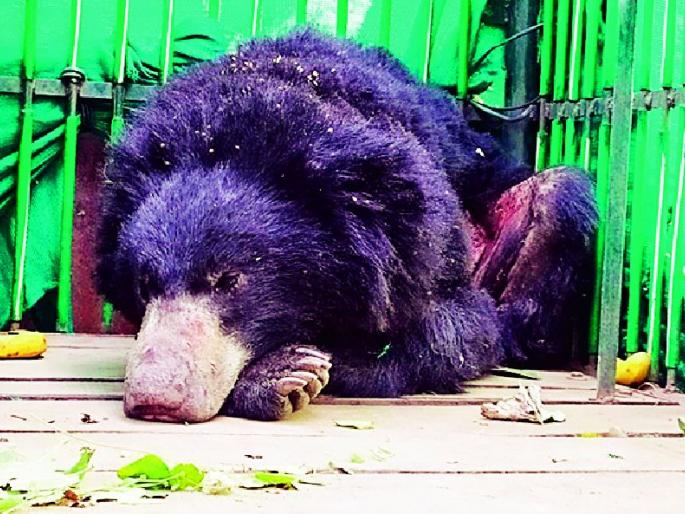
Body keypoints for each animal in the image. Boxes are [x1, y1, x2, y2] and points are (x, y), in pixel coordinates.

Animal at [97, 30, 597, 423]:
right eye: (143, 285)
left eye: (229, 281)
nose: (156, 399)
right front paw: (282, 374)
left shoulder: (419, 243)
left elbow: (462, 329)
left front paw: (292, 368)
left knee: (561, 195)